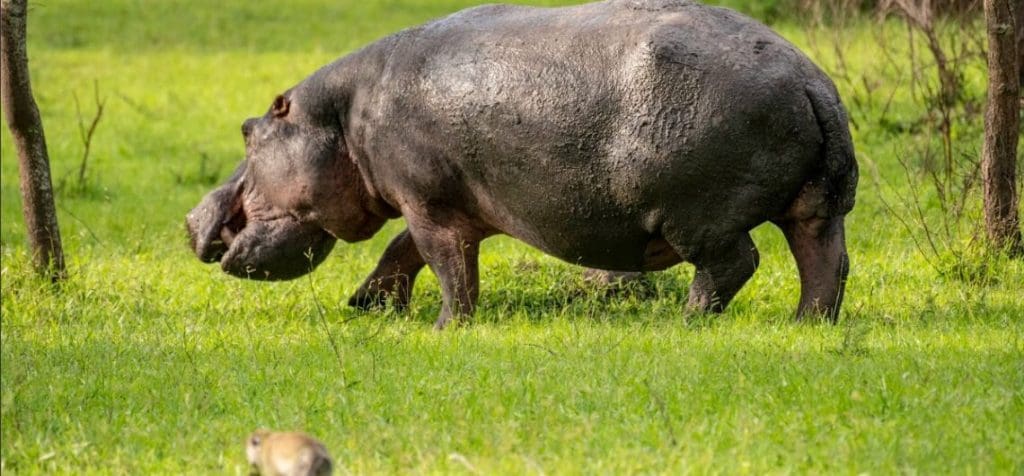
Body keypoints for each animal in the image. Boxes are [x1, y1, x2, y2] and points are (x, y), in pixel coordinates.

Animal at [186, 0, 857, 329]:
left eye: (247, 131)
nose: (191, 220)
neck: (342, 115)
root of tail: (810, 79)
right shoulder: (448, 202)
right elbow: (400, 252)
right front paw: (366, 306)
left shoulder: (428, 203)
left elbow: (444, 264)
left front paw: (445, 328)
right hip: (815, 207)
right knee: (825, 262)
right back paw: (806, 325)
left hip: (696, 217)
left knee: (734, 264)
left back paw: (687, 323)